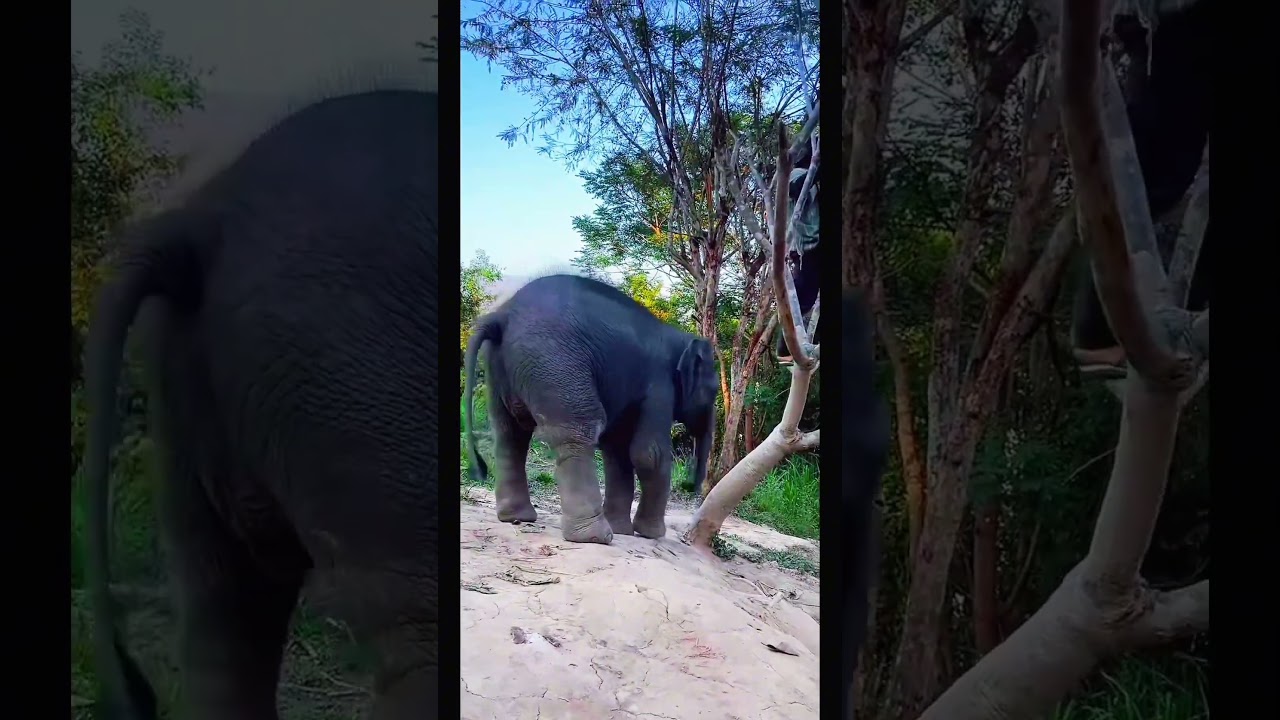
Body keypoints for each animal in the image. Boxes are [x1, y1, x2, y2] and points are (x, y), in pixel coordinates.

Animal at [463, 274, 719, 545]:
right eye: (714, 391)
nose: (692, 487)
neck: (678, 337)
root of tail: (501, 317)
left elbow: (617, 451)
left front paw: (623, 530)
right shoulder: (659, 386)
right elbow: (649, 453)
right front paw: (652, 534)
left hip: (499, 369)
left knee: (509, 433)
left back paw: (516, 517)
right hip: (556, 364)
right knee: (577, 431)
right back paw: (595, 536)